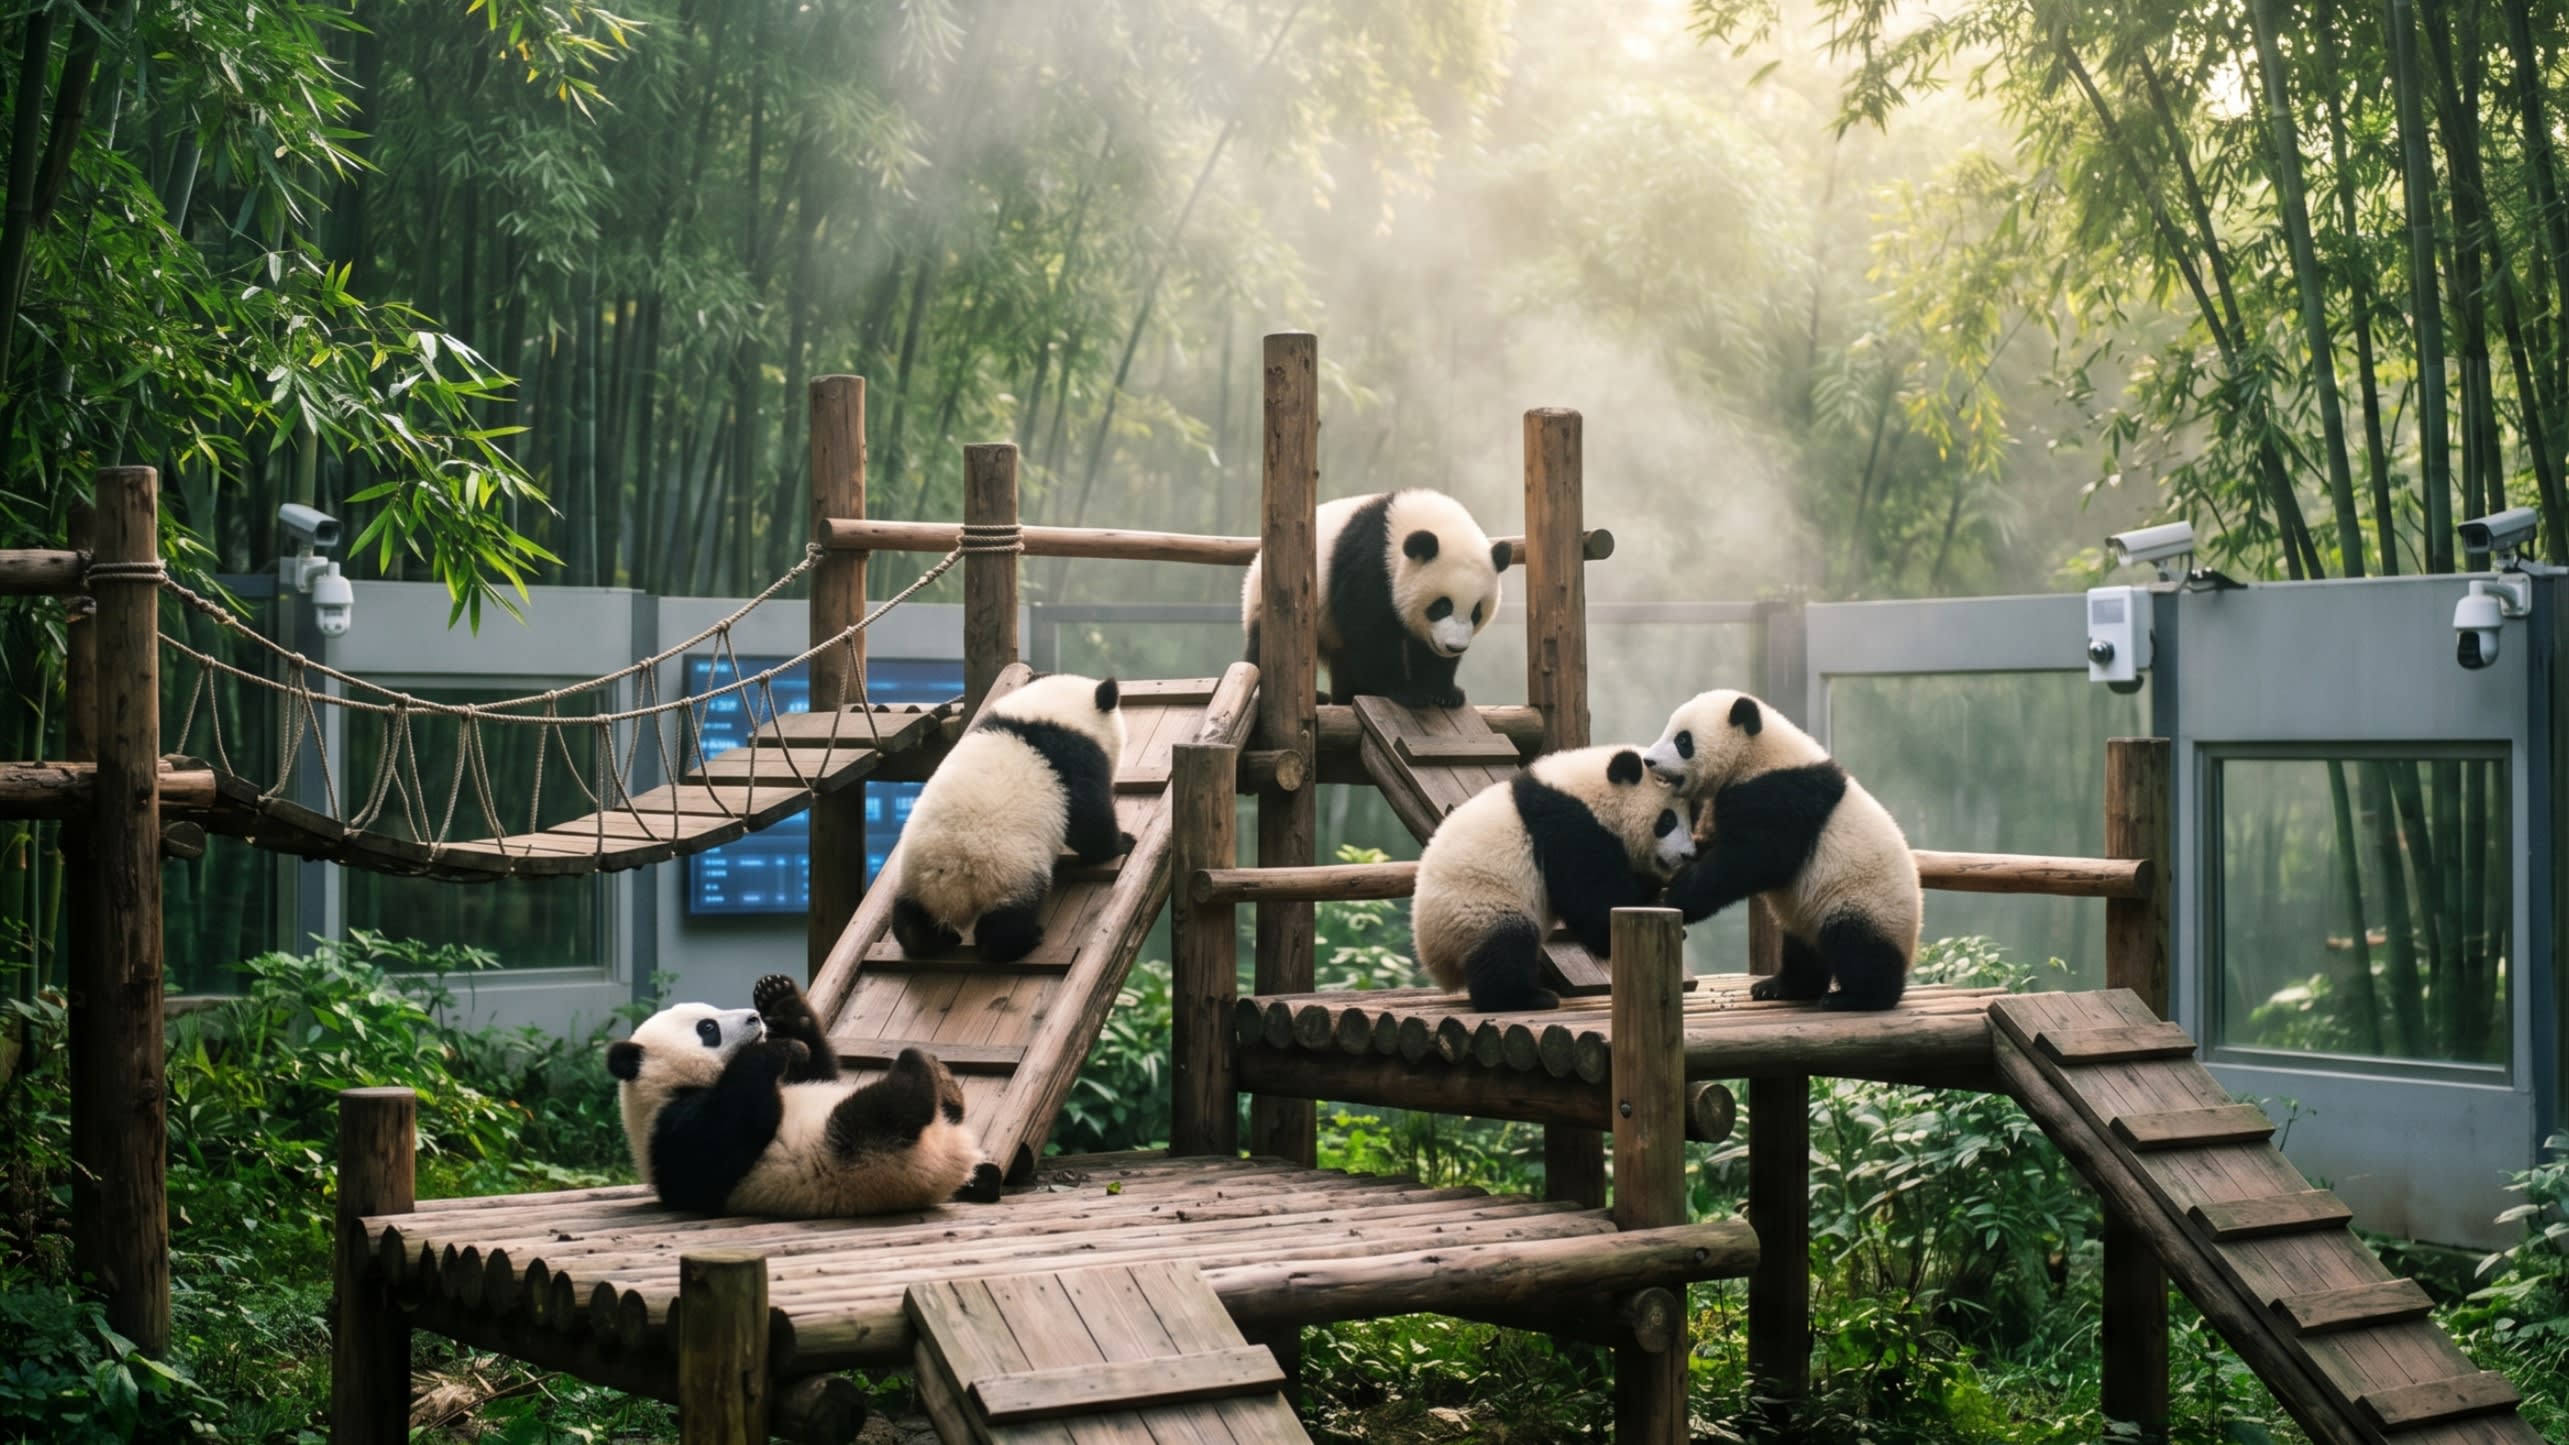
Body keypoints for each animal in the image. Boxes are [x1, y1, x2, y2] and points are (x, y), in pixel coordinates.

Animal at [605, 974, 982, 1216]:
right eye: (707, 1027)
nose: (754, 1018)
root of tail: (952, 1156)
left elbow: (817, 1071)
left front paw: (780, 999)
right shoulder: (668, 1131)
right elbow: (718, 1143)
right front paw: (777, 1049)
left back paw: (945, 1084)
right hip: (860, 1154)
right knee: (879, 1112)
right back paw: (916, 1067)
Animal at [891, 673, 1133, 963]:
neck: (1052, 711)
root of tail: (952, 871)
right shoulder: (1074, 757)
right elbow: (1089, 818)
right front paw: (1123, 842)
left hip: (916, 879)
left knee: (910, 917)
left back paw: (929, 941)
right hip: (1010, 871)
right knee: (1008, 919)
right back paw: (1023, 940)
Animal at [1241, 489, 1508, 708]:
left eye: (1476, 612)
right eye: (1442, 606)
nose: (1454, 647)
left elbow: (1425, 651)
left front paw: (1443, 693)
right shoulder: (1370, 563)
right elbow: (1370, 631)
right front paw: (1405, 691)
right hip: (1268, 604)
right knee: (1262, 647)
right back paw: (1322, 696)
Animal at [1412, 745, 1697, 1011]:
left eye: (1692, 818)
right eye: (1667, 820)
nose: (1687, 854)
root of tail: (1432, 954)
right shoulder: (1568, 827)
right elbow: (1594, 909)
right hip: (1475, 906)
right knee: (1507, 944)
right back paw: (1524, 997)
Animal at [1641, 689, 1921, 1011]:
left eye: (1683, 740)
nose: (1648, 760)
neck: (1756, 754)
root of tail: (1912, 939)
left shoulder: (1782, 797)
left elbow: (1751, 860)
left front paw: (1673, 896)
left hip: (1864, 902)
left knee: (1857, 946)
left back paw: (1857, 997)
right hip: (1806, 915)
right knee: (1803, 952)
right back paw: (1781, 987)